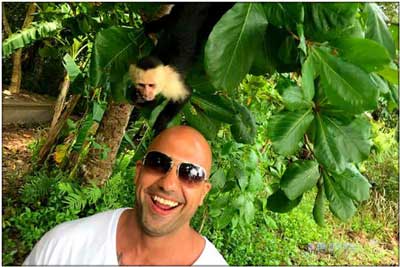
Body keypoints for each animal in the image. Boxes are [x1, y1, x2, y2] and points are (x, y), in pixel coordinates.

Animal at [128, 2, 234, 135]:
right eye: (142, 85)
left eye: (151, 85)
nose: (146, 94)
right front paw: (137, 99)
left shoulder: (171, 82)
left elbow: (186, 94)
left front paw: (159, 126)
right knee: (168, 20)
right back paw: (149, 28)